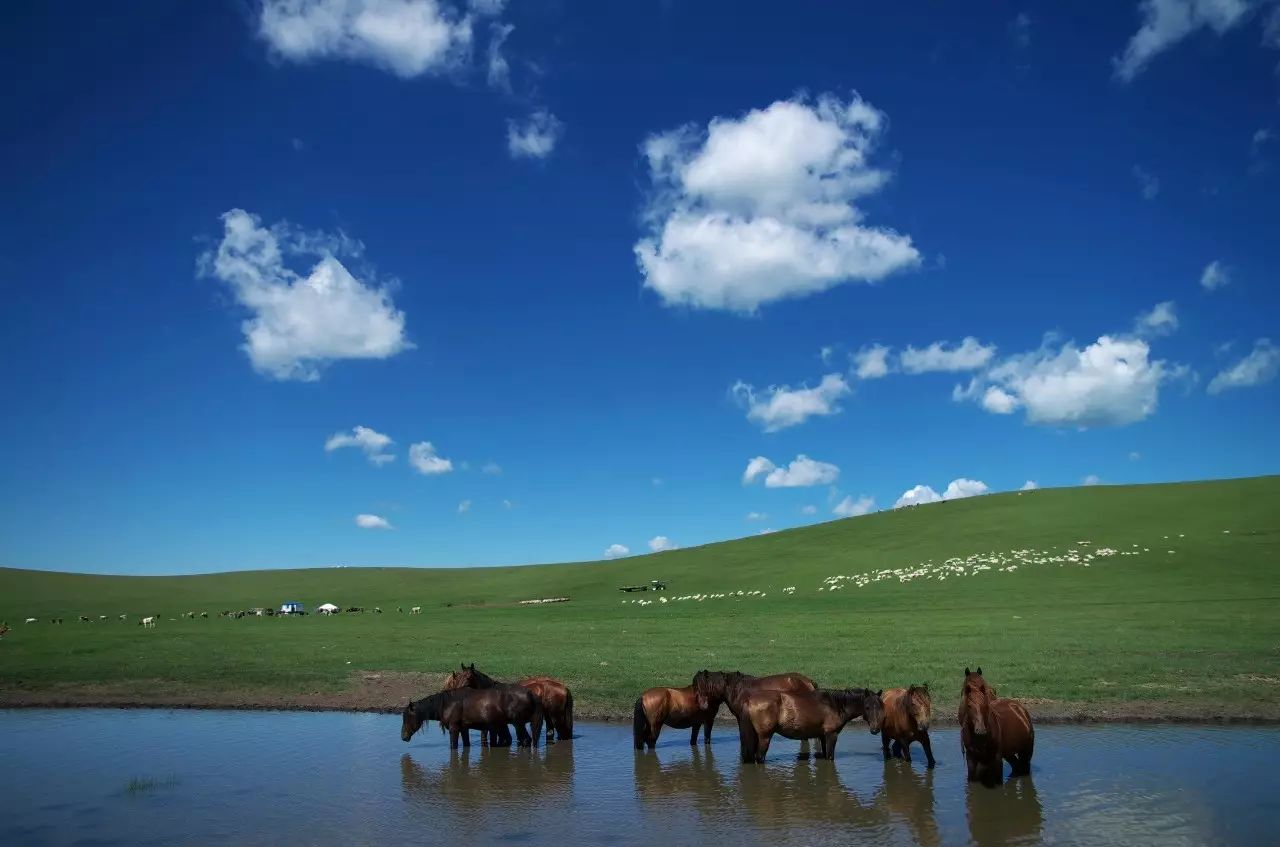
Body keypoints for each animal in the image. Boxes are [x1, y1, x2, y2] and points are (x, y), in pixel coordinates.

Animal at [399, 690, 540, 752]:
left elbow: (453, 746)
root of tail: (530, 694)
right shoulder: (463, 729)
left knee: (526, 740)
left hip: (518, 724)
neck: (447, 704)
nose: (403, 737)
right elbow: (466, 744)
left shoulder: (454, 728)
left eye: (407, 717)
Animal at [691, 670, 819, 762]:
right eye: (695, 686)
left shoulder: (741, 719)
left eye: (700, 686)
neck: (737, 689)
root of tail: (808, 682)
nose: (702, 706)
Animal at [737, 685, 885, 767]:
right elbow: (830, 757)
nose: (875, 729)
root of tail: (749, 700)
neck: (835, 705)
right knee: (759, 758)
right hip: (764, 737)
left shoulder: (823, 736)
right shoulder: (831, 735)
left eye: (880, 706)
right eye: (867, 707)